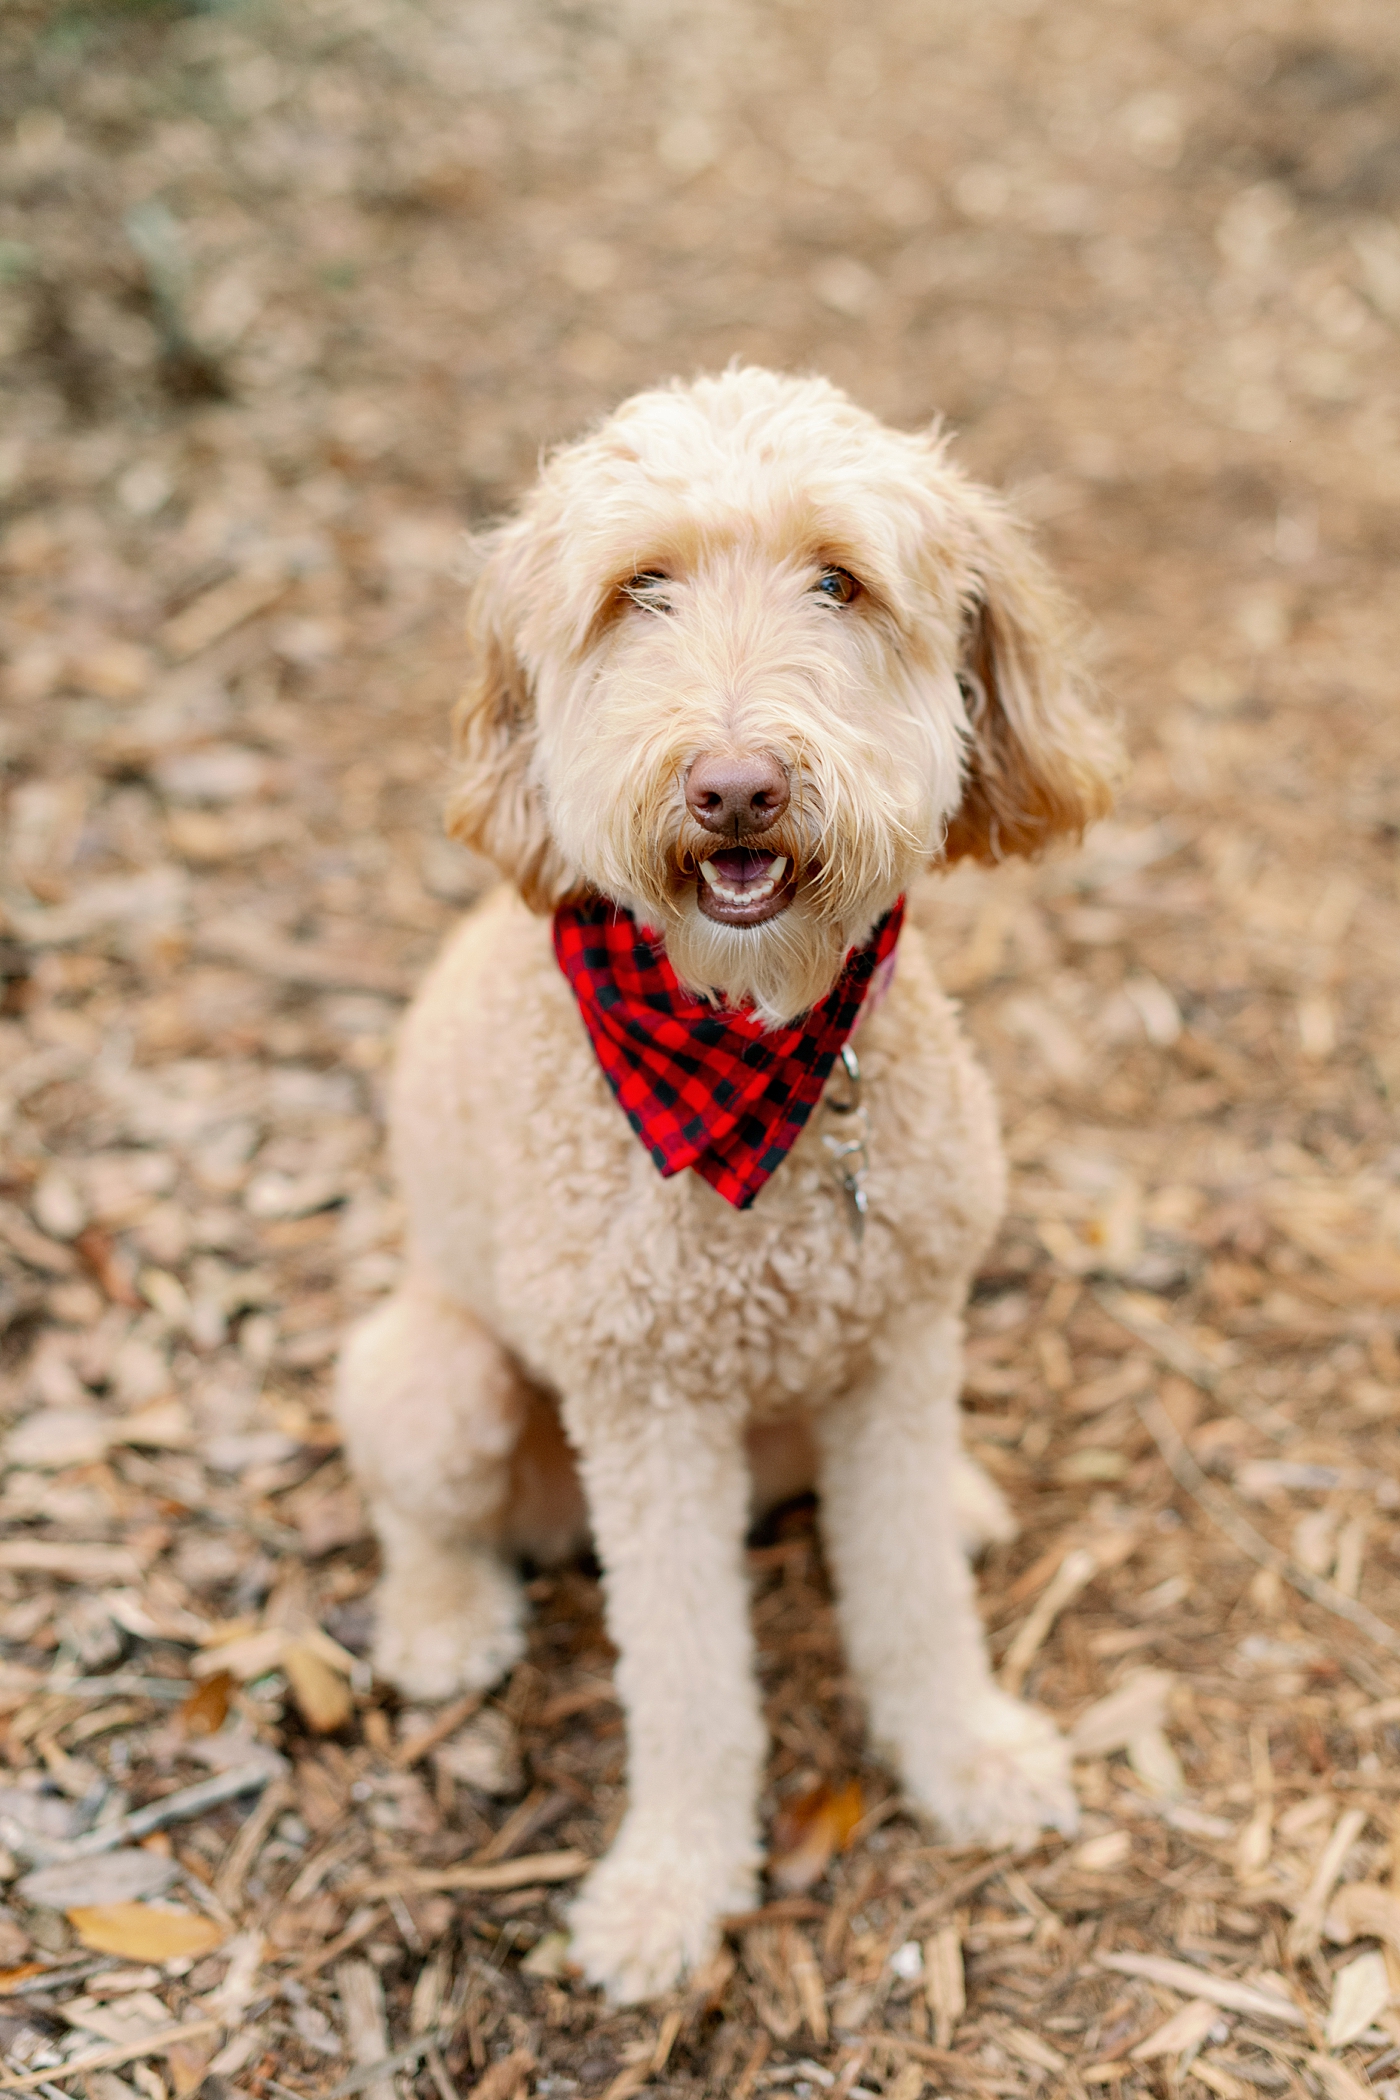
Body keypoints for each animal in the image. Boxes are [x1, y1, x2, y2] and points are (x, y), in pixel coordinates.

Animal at [335, 366, 1119, 2003]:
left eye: (839, 582)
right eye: (641, 590)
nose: (736, 788)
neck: (759, 1053)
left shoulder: (897, 1348)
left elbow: (911, 1601)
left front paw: (964, 1757)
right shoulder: (648, 1415)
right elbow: (688, 1681)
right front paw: (669, 1890)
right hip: (438, 1373)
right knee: (420, 1508)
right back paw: (443, 1622)